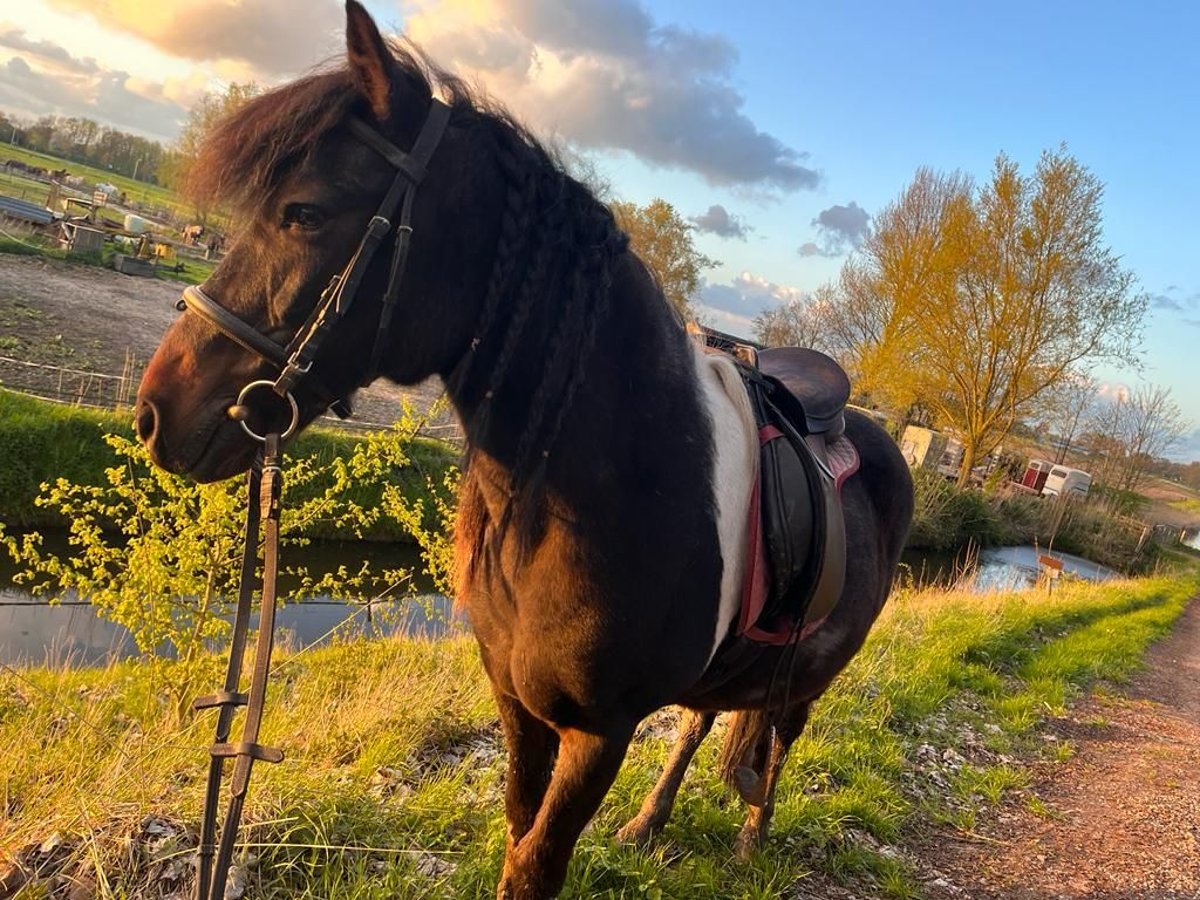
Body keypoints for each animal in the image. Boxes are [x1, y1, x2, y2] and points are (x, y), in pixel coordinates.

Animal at [133, 3, 907, 897]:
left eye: (303, 212)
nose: (156, 412)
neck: (609, 485)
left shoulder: (600, 732)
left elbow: (536, 863)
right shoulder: (518, 705)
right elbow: (517, 831)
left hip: (815, 670)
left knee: (777, 735)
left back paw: (752, 836)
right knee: (704, 719)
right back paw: (649, 824)